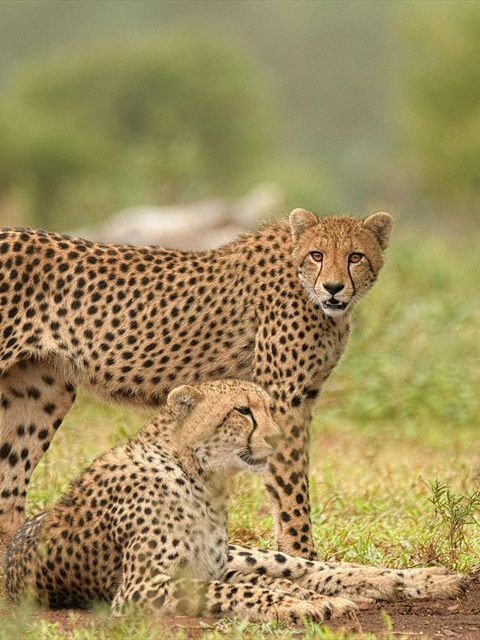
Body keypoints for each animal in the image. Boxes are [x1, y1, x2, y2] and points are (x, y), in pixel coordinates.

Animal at [0, 207, 393, 562]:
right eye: (317, 255)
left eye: (355, 257)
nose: (333, 287)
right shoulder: (284, 402)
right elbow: (291, 486)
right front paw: (303, 555)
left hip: (40, 394)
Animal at [5, 379, 465, 623]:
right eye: (242, 411)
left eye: (269, 408)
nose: (278, 438)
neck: (201, 477)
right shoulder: (140, 589)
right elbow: (238, 591)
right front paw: (299, 604)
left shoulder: (206, 566)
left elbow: (255, 584)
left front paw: (306, 600)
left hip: (241, 553)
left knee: (310, 566)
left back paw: (420, 580)